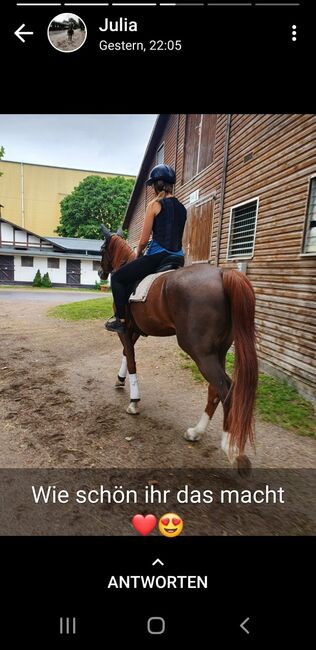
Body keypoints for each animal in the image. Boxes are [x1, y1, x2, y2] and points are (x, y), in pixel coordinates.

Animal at [100, 228, 258, 470]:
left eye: (101, 249)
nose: (100, 272)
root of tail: (222, 274)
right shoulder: (134, 331)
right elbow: (127, 355)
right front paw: (120, 380)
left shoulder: (124, 330)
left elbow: (132, 360)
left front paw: (134, 402)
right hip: (217, 352)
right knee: (215, 390)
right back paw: (197, 432)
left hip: (200, 352)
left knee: (226, 390)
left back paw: (230, 448)